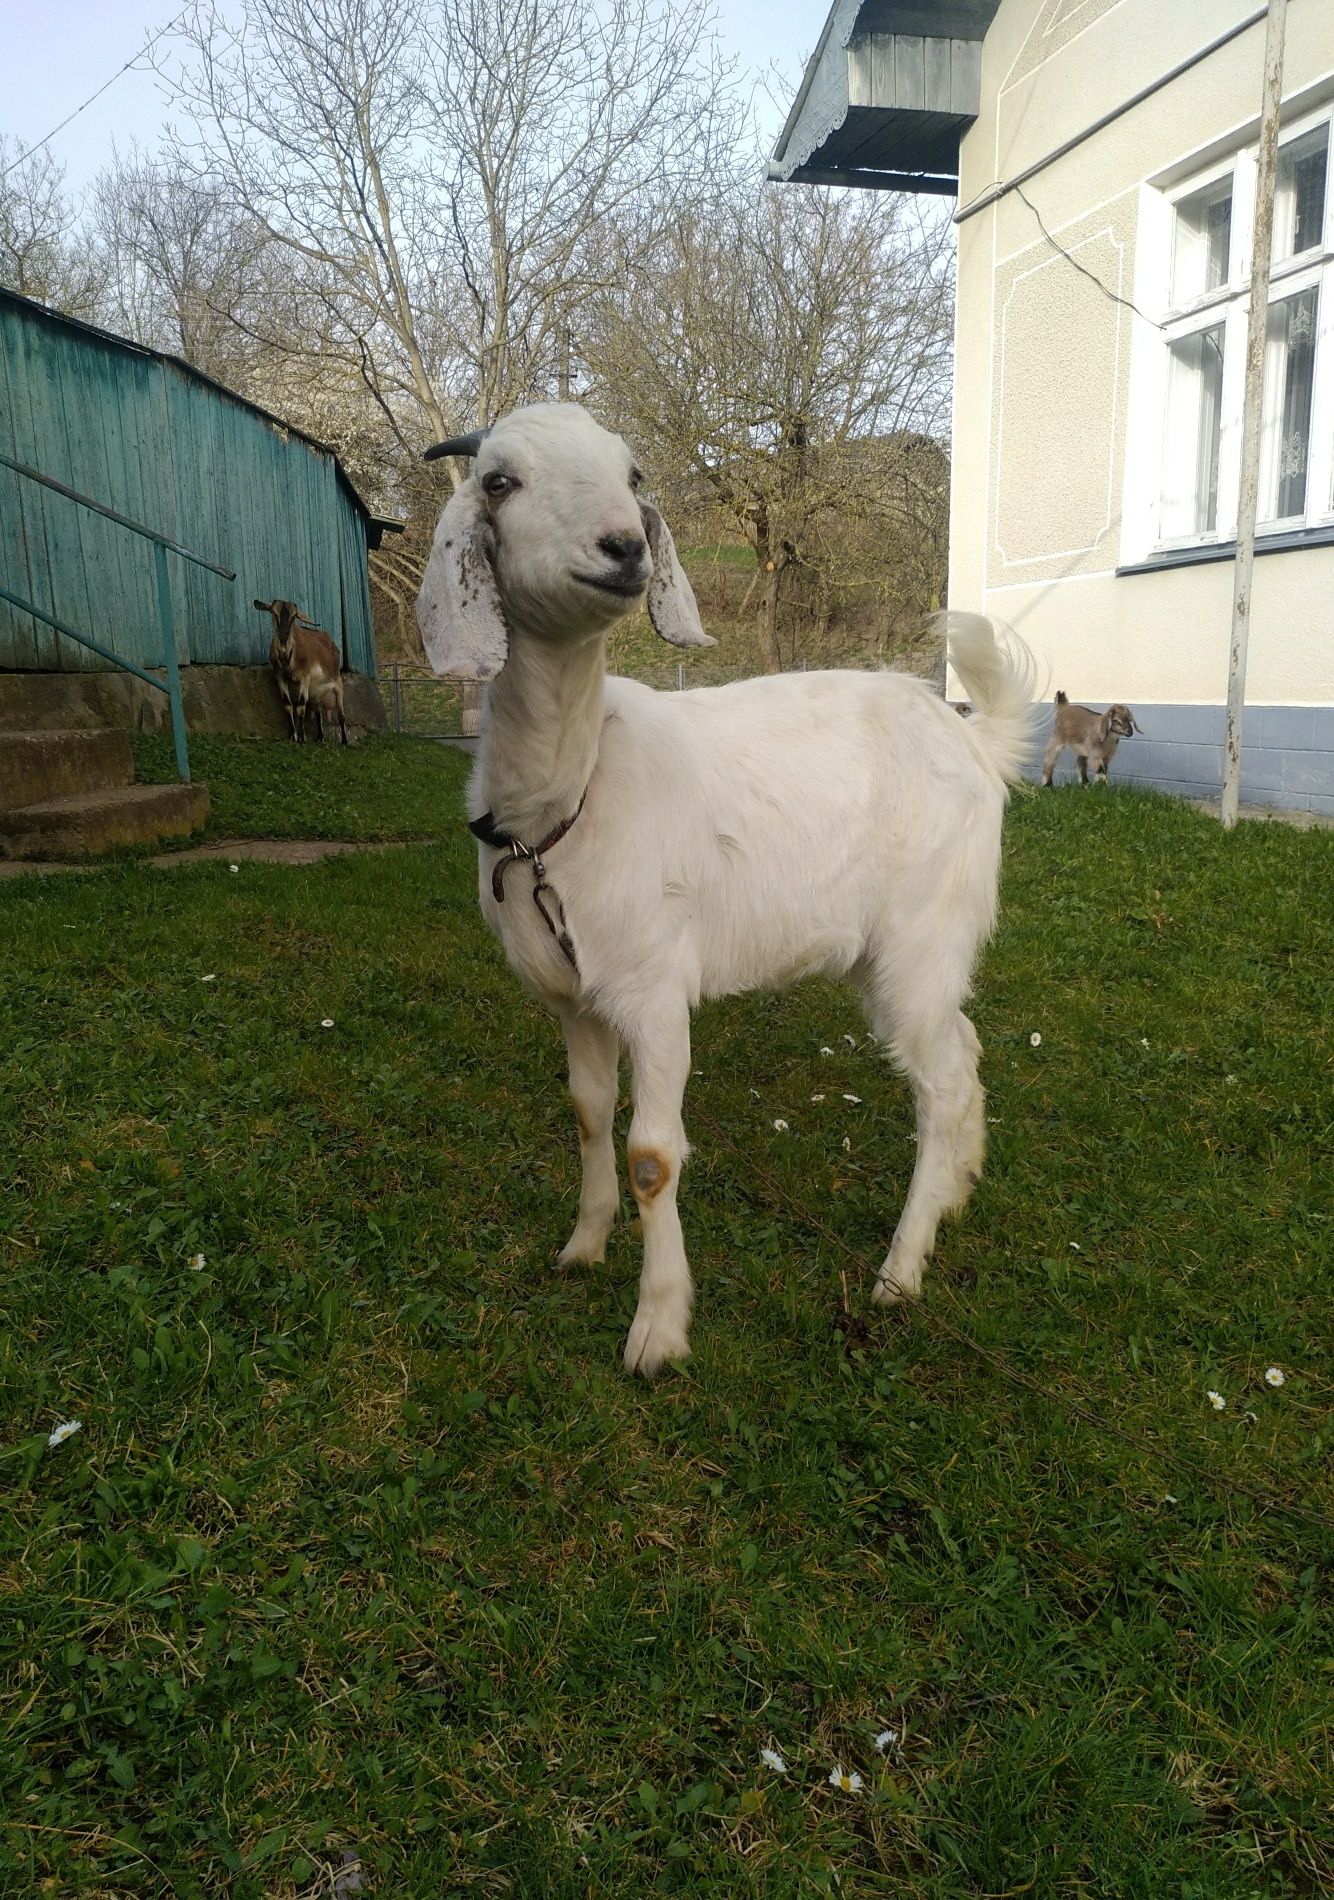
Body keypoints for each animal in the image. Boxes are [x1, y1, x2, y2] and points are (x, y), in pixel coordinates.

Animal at [418, 408, 1033, 1375]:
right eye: (499, 482)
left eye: (633, 475)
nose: (624, 546)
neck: (567, 797)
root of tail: (976, 741)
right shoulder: (572, 997)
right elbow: (588, 1116)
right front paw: (582, 1246)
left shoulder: (657, 991)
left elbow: (651, 1155)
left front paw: (658, 1327)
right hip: (901, 955)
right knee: (964, 1052)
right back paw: (958, 1195)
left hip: (924, 931)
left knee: (939, 1084)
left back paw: (900, 1271)